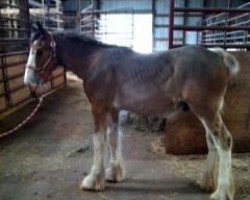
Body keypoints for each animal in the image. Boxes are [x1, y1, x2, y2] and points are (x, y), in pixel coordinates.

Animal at [23, 22, 240, 200]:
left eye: (40, 51)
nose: (28, 81)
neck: (95, 62)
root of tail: (218, 55)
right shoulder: (113, 109)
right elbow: (113, 138)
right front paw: (114, 173)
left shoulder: (98, 107)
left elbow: (99, 141)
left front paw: (93, 180)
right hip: (206, 113)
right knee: (212, 143)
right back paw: (206, 183)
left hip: (206, 111)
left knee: (224, 142)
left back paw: (221, 192)